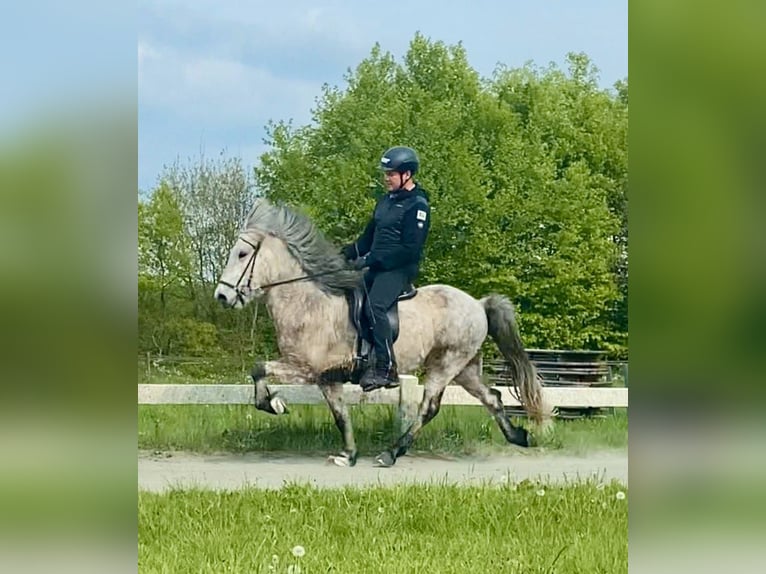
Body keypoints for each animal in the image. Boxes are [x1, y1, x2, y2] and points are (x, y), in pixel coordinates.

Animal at [214, 198, 552, 468]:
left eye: (242, 254)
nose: (222, 296)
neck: (309, 303)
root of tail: (478, 304)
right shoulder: (326, 377)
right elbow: (340, 415)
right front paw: (347, 455)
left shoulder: (305, 368)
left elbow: (258, 368)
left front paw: (275, 404)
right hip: (464, 368)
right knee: (492, 397)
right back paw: (519, 436)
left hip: (446, 365)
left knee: (429, 408)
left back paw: (391, 453)